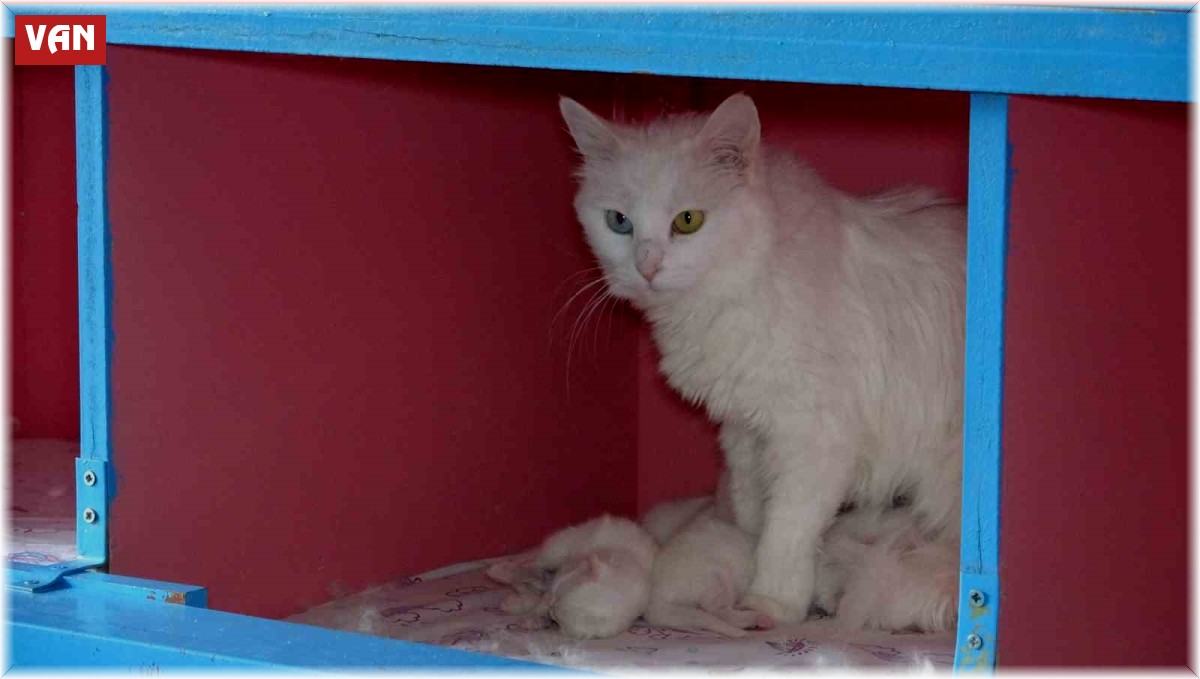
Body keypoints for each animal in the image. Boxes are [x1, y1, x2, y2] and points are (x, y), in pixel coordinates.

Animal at [559, 92, 965, 626]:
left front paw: (771, 600)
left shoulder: (813, 436)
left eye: (688, 220)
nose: (646, 267)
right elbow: (752, 510)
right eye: (618, 222)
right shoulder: (745, 429)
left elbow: (786, 529)